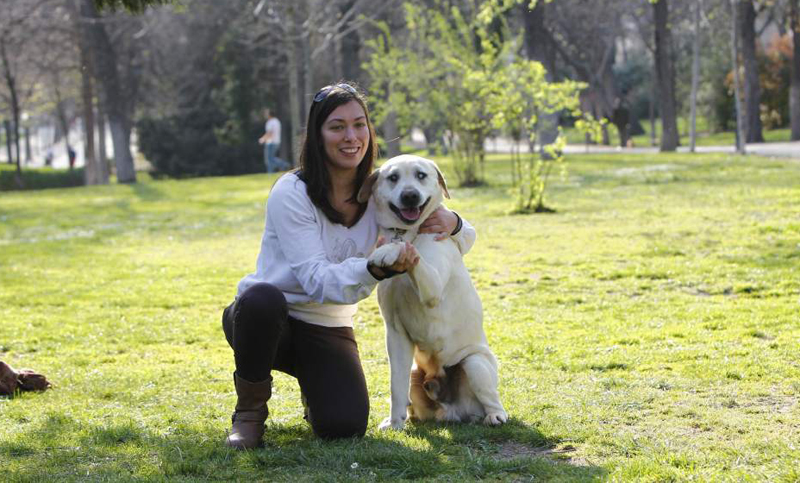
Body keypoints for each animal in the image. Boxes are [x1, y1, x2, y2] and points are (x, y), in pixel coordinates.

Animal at [358, 155, 506, 432]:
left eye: (421, 175)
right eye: (393, 177)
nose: (410, 196)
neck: (410, 233)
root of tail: (452, 412)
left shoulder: (433, 287)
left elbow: (408, 251)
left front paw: (389, 252)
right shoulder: (396, 335)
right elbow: (396, 387)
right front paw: (395, 422)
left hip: (474, 363)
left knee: (492, 400)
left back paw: (495, 416)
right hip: (416, 371)